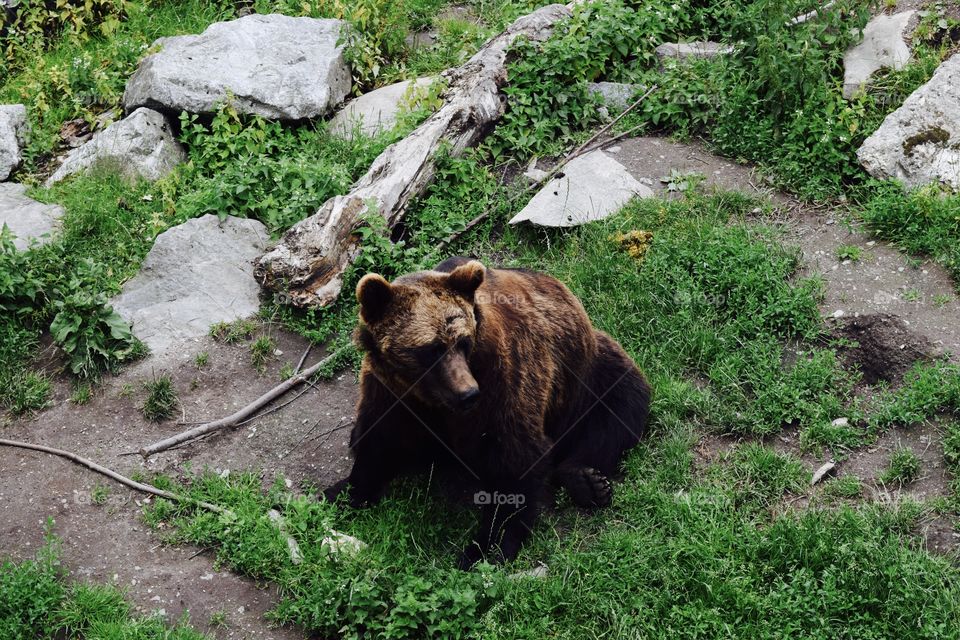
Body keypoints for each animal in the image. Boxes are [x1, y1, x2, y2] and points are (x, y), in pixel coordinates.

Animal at [324, 257, 651, 568]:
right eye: (431, 349)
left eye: (463, 342)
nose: (468, 393)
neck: (429, 398)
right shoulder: (390, 392)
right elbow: (379, 441)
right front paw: (340, 492)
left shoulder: (500, 377)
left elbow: (513, 455)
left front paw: (485, 547)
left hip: (586, 372)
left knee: (620, 404)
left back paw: (587, 481)